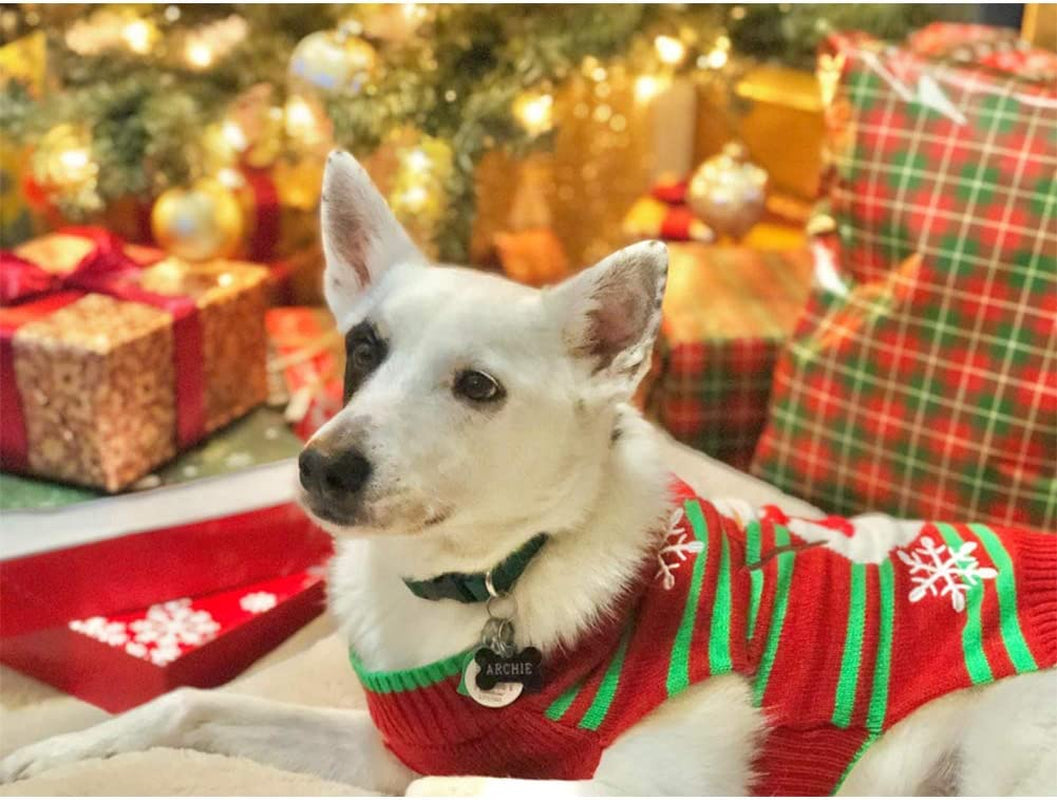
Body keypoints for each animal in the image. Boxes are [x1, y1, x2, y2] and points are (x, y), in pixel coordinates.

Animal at [2, 153, 1057, 794]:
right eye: (362, 348)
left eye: (477, 386)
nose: (321, 466)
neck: (482, 584)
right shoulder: (391, 746)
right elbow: (191, 702)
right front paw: (54, 753)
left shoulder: (633, 782)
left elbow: (451, 788)